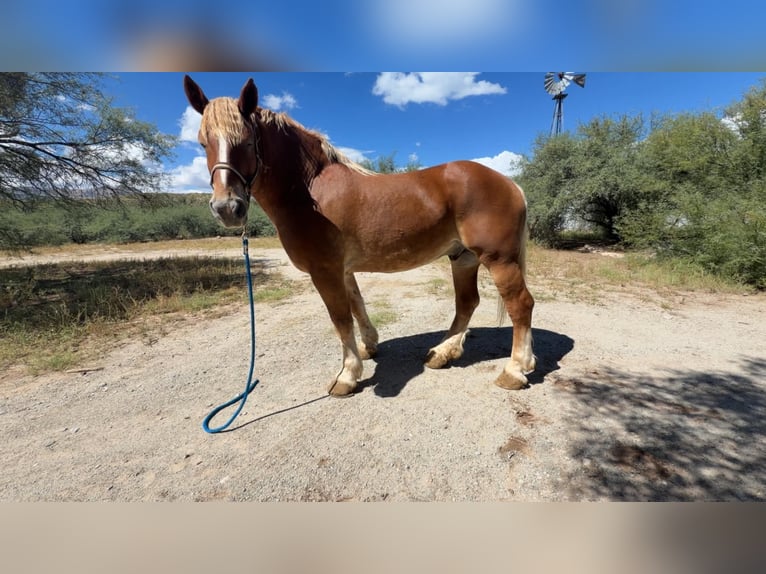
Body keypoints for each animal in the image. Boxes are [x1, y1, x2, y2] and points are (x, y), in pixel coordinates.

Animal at [183, 75, 536, 397]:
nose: (227, 207)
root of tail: (510, 183)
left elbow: (340, 318)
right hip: (463, 258)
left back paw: (514, 371)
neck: (310, 190)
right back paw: (443, 353)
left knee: (521, 305)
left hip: (499, 260)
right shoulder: (343, 269)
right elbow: (356, 305)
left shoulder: (325, 271)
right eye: (202, 142)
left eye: (246, 140)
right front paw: (369, 347)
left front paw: (347, 375)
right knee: (467, 303)